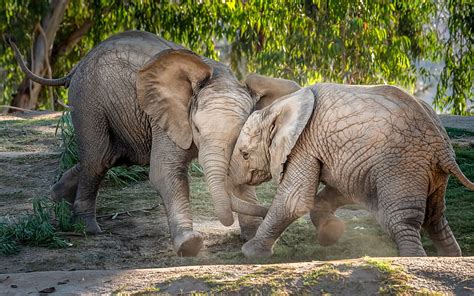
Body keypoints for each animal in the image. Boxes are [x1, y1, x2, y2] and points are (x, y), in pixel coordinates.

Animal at [7, 30, 270, 256]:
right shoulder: (166, 116)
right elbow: (165, 171)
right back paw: (86, 228)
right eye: (196, 128)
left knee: (108, 157)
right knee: (97, 160)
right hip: (87, 102)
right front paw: (190, 245)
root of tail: (76, 68)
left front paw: (252, 236)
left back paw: (55, 200)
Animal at [228, 75, 472, 258]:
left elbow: (294, 200)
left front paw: (250, 253)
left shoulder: (303, 144)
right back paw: (450, 257)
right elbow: (342, 189)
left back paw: (413, 260)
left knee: (401, 219)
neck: (282, 106)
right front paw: (332, 234)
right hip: (430, 170)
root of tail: (443, 147)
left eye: (245, 154)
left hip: (402, 165)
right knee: (435, 217)